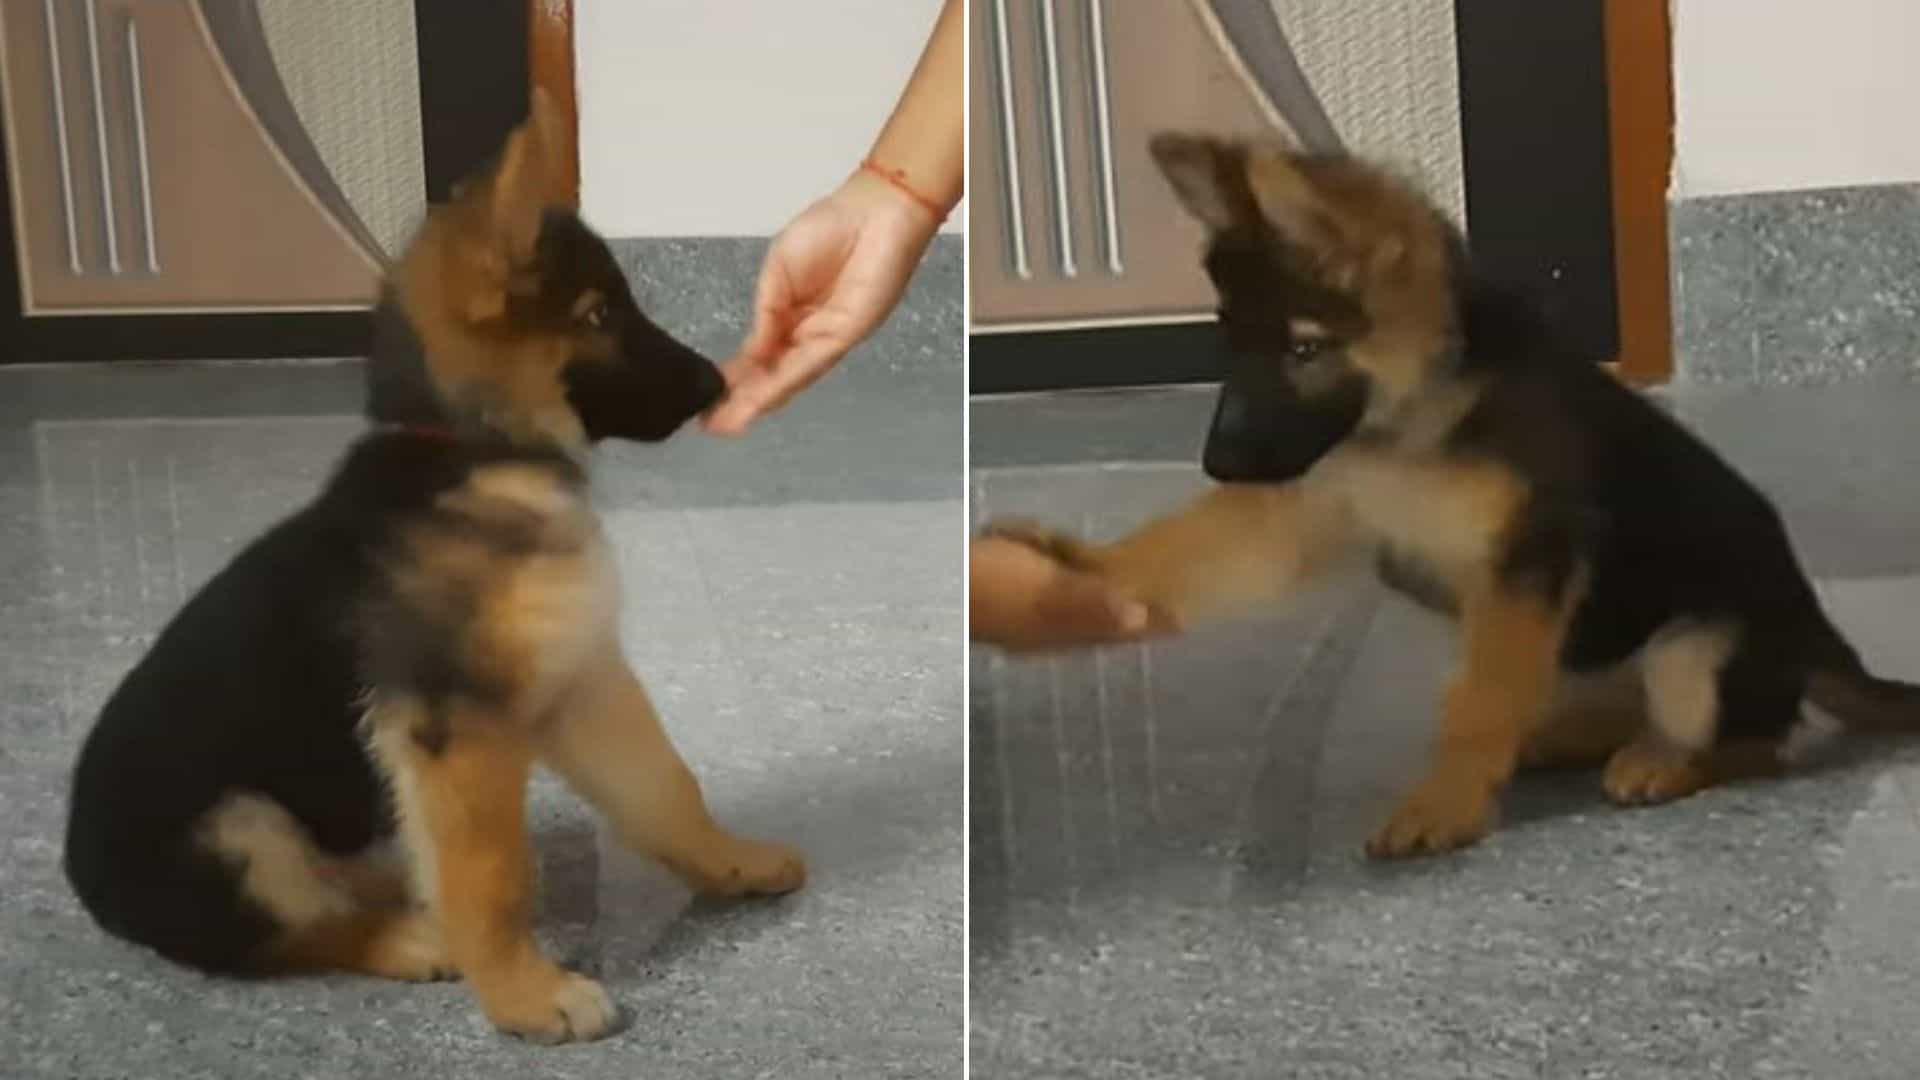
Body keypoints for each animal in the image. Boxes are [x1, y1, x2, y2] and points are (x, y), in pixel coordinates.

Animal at [63, 94, 802, 1045]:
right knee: (291, 934)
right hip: (239, 830)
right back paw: (410, 937)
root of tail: (89, 890)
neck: (475, 454)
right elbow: (492, 874)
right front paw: (525, 993)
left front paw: (730, 860)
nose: (718, 384)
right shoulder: (460, 729)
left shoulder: (582, 678)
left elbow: (666, 785)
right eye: (599, 315)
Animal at [990, 132, 1920, 857]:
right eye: (1233, 341)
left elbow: (1478, 702)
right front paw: (1074, 574)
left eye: (1303, 348)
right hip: (1587, 653)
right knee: (1597, 704)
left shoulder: (1525, 564)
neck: (1410, 423)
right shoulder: (1306, 505)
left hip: (1695, 649)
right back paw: (1568, 740)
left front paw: (1447, 802)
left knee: (1755, 740)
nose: (1221, 464)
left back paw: (1666, 761)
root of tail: (1817, 639)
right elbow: (1184, 549)